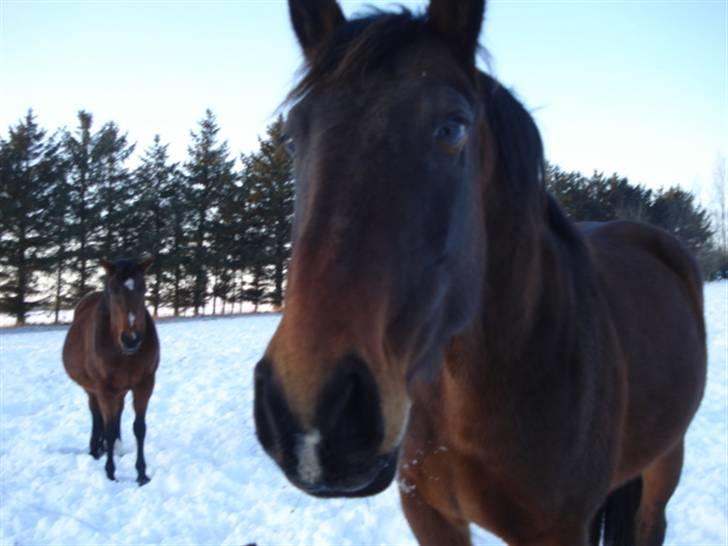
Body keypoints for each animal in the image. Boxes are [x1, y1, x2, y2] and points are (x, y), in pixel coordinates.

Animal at [63, 256, 159, 484]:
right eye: (113, 290)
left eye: (143, 288)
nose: (131, 339)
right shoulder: (104, 389)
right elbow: (106, 427)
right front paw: (110, 472)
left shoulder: (144, 385)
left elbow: (139, 428)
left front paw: (141, 474)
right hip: (93, 389)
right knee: (96, 414)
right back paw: (96, 449)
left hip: (120, 390)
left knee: (116, 415)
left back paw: (113, 447)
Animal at [253, 2, 708, 540]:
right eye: (291, 135)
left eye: (453, 127)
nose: (315, 420)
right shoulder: (429, 515)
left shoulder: (559, 529)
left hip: (665, 459)